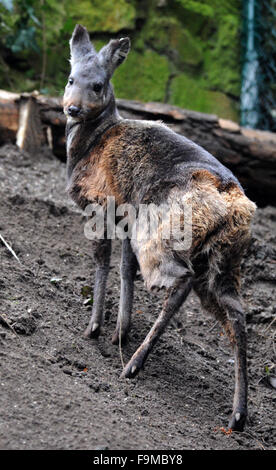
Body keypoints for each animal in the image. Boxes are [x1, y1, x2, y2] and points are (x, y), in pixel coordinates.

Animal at [63, 24, 256, 430]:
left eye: (98, 85)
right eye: (71, 78)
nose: (71, 108)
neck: (90, 145)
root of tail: (234, 201)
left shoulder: (101, 205)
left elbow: (103, 261)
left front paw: (95, 329)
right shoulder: (123, 216)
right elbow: (124, 269)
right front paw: (118, 331)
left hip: (161, 233)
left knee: (178, 280)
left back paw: (134, 365)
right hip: (224, 261)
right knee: (237, 313)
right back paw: (237, 415)